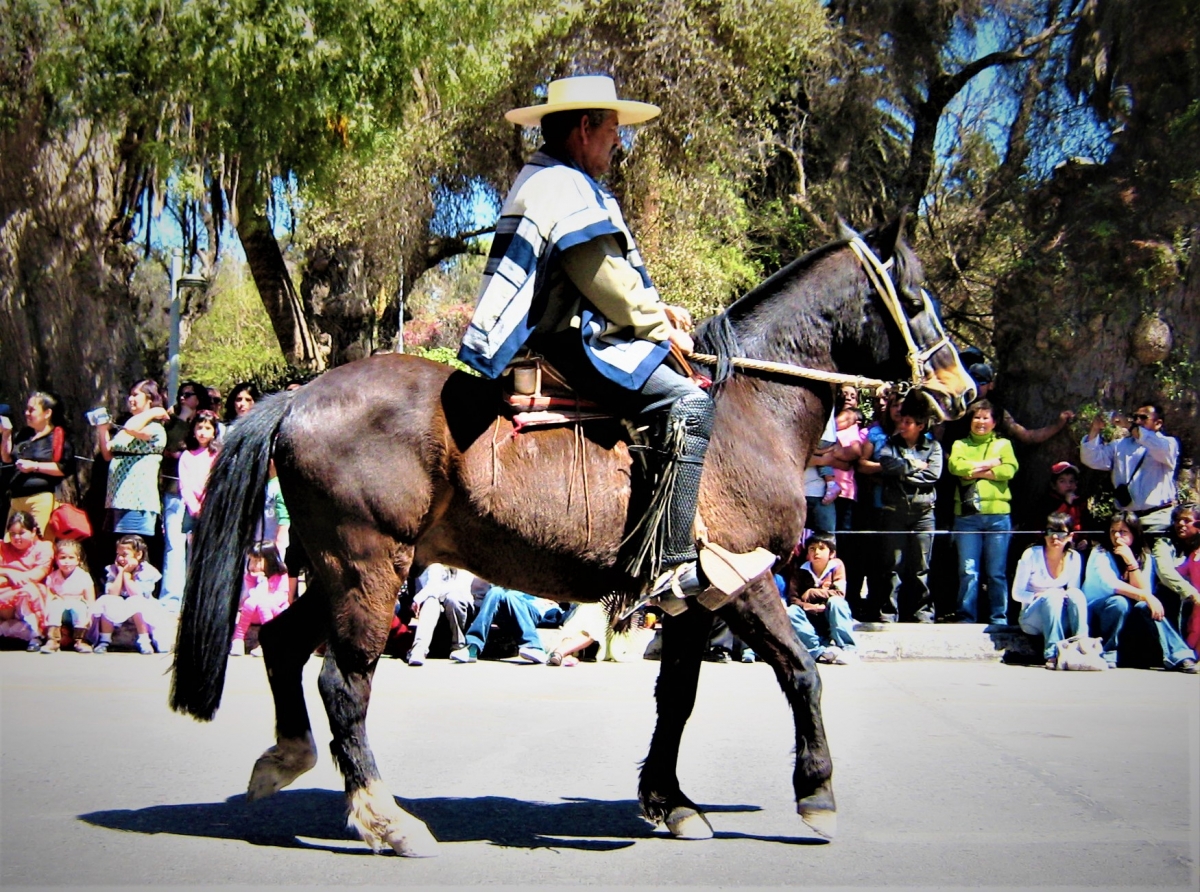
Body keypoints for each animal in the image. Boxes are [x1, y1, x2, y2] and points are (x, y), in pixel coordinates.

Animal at [169, 216, 974, 859]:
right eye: (918, 300)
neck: (749, 409)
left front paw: (671, 802)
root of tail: (298, 396)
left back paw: (287, 759)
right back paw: (386, 820)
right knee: (344, 683)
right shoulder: (741, 577)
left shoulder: (694, 598)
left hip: (342, 572)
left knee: (280, 644)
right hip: (367, 567)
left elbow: (677, 698)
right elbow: (801, 672)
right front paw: (816, 792)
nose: (963, 392)